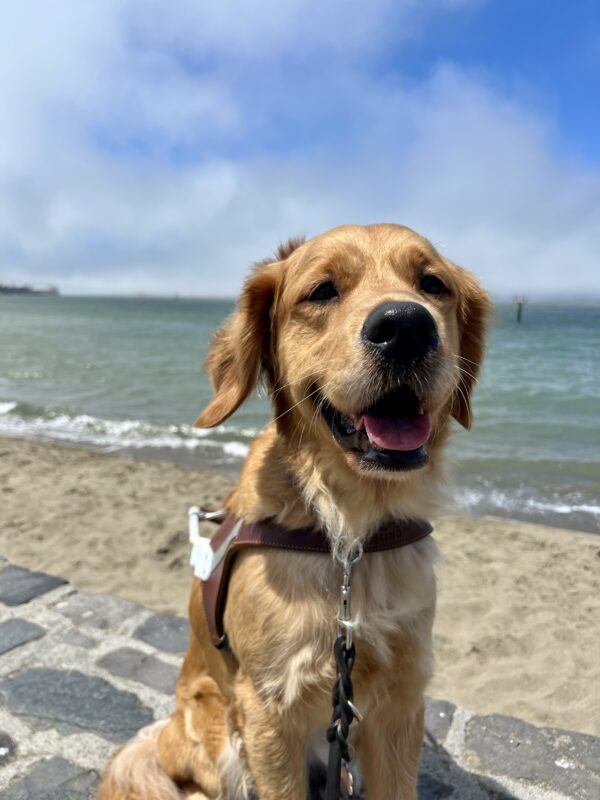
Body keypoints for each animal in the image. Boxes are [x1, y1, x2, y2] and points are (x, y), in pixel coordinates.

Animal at [98, 223, 490, 800]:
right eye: (322, 291)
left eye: (433, 284)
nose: (406, 327)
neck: (348, 533)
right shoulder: (269, 706)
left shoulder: (400, 699)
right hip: (220, 735)